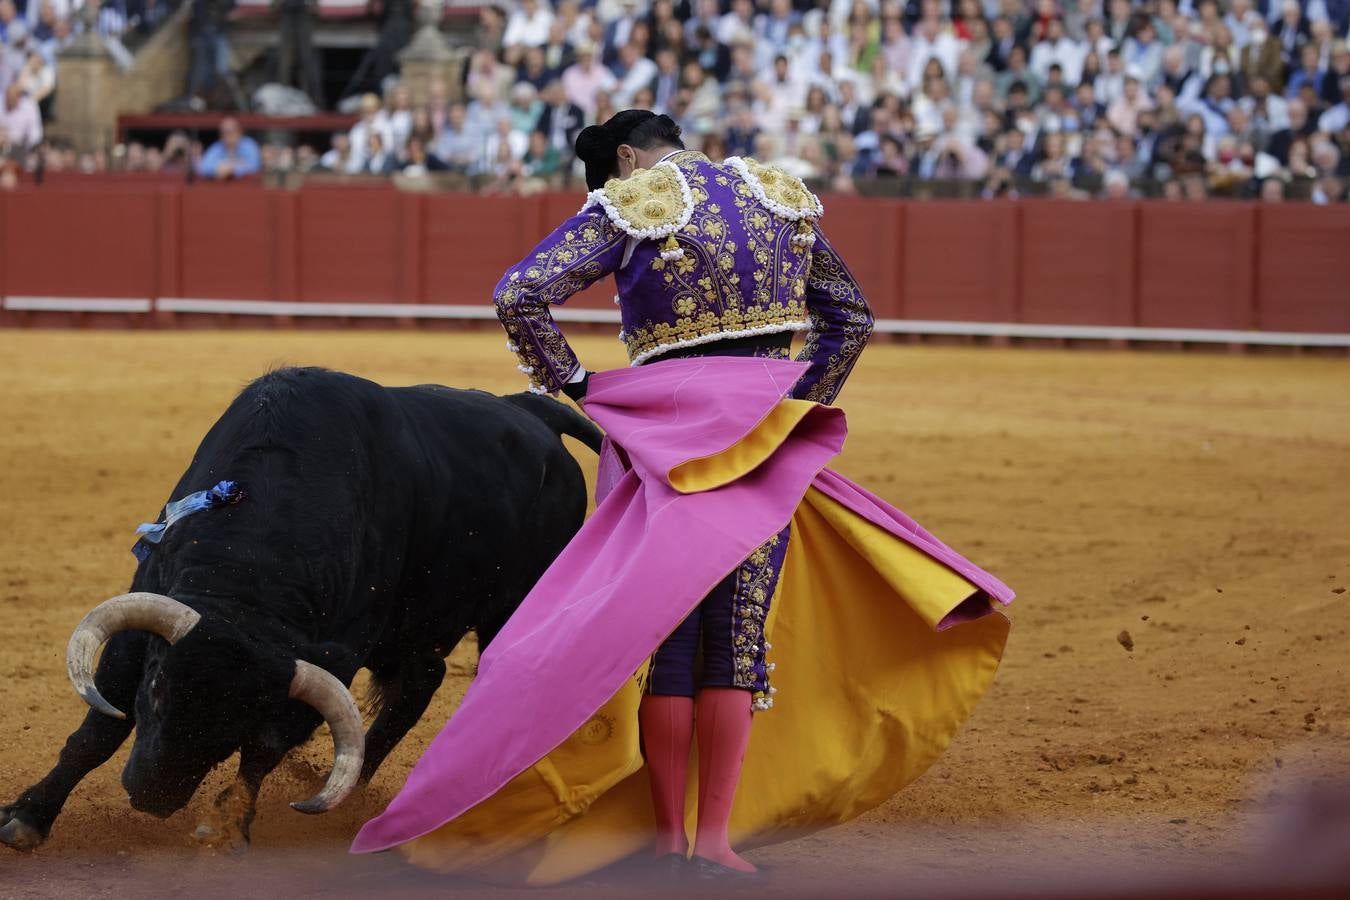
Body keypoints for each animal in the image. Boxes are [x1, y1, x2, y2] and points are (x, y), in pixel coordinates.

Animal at [0, 367, 602, 852]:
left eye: (239, 719)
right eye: (156, 689)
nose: (152, 795)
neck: (253, 570)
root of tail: (531, 411)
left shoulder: (332, 659)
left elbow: (265, 748)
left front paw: (225, 825)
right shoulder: (141, 619)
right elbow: (97, 731)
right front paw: (27, 819)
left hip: (513, 607)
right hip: (420, 630)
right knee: (420, 683)